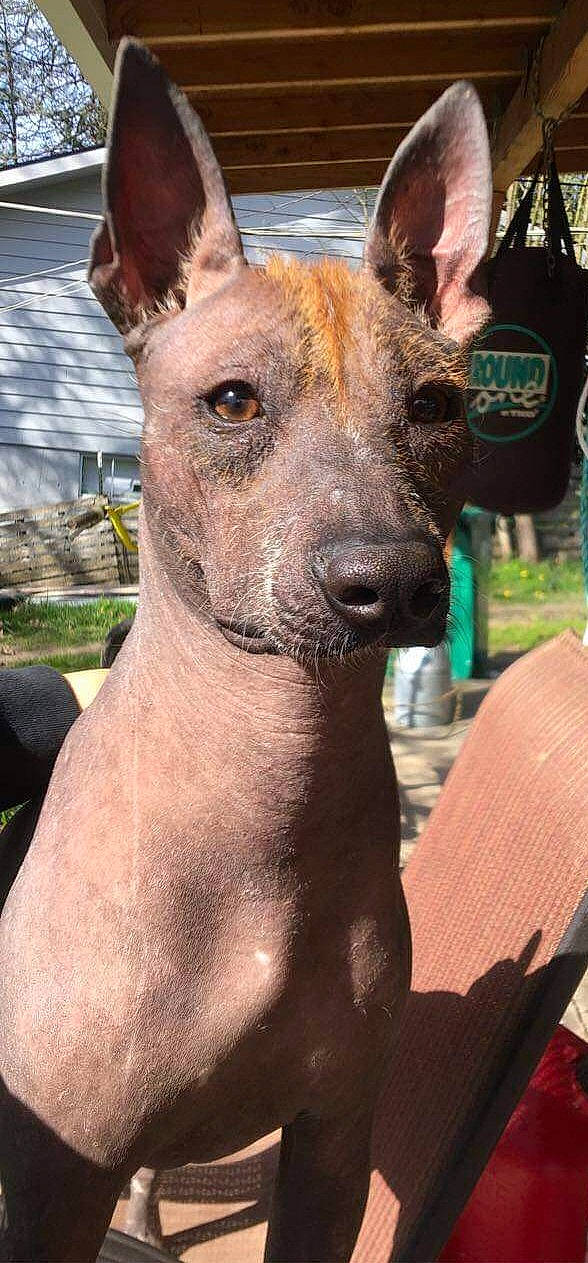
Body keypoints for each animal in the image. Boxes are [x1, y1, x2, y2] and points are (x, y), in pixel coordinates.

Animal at [0, 40, 491, 1263]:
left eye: (436, 405)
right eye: (231, 402)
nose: (392, 583)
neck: (270, 781)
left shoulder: (335, 1149)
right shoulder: (54, 1173)